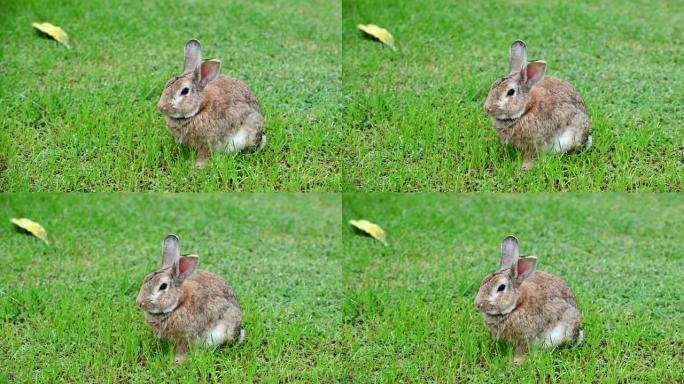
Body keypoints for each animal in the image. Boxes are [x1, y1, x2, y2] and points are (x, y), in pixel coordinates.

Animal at [136, 234, 243, 364]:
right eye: (146, 279)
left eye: (163, 286)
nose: (139, 302)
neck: (178, 304)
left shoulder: (189, 337)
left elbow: (184, 348)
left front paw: (177, 361)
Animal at [158, 38, 268, 168]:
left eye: (184, 91)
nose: (161, 107)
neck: (200, 109)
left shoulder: (211, 142)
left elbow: (205, 154)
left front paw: (198, 166)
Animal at [476, 236, 584, 364]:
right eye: (483, 281)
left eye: (501, 287)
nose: (478, 304)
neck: (517, 306)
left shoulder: (527, 338)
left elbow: (522, 350)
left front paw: (516, 362)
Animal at [484, 40, 592, 170]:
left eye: (510, 92)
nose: (487, 108)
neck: (526, 110)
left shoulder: (536, 143)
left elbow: (531, 155)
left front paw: (524, 167)